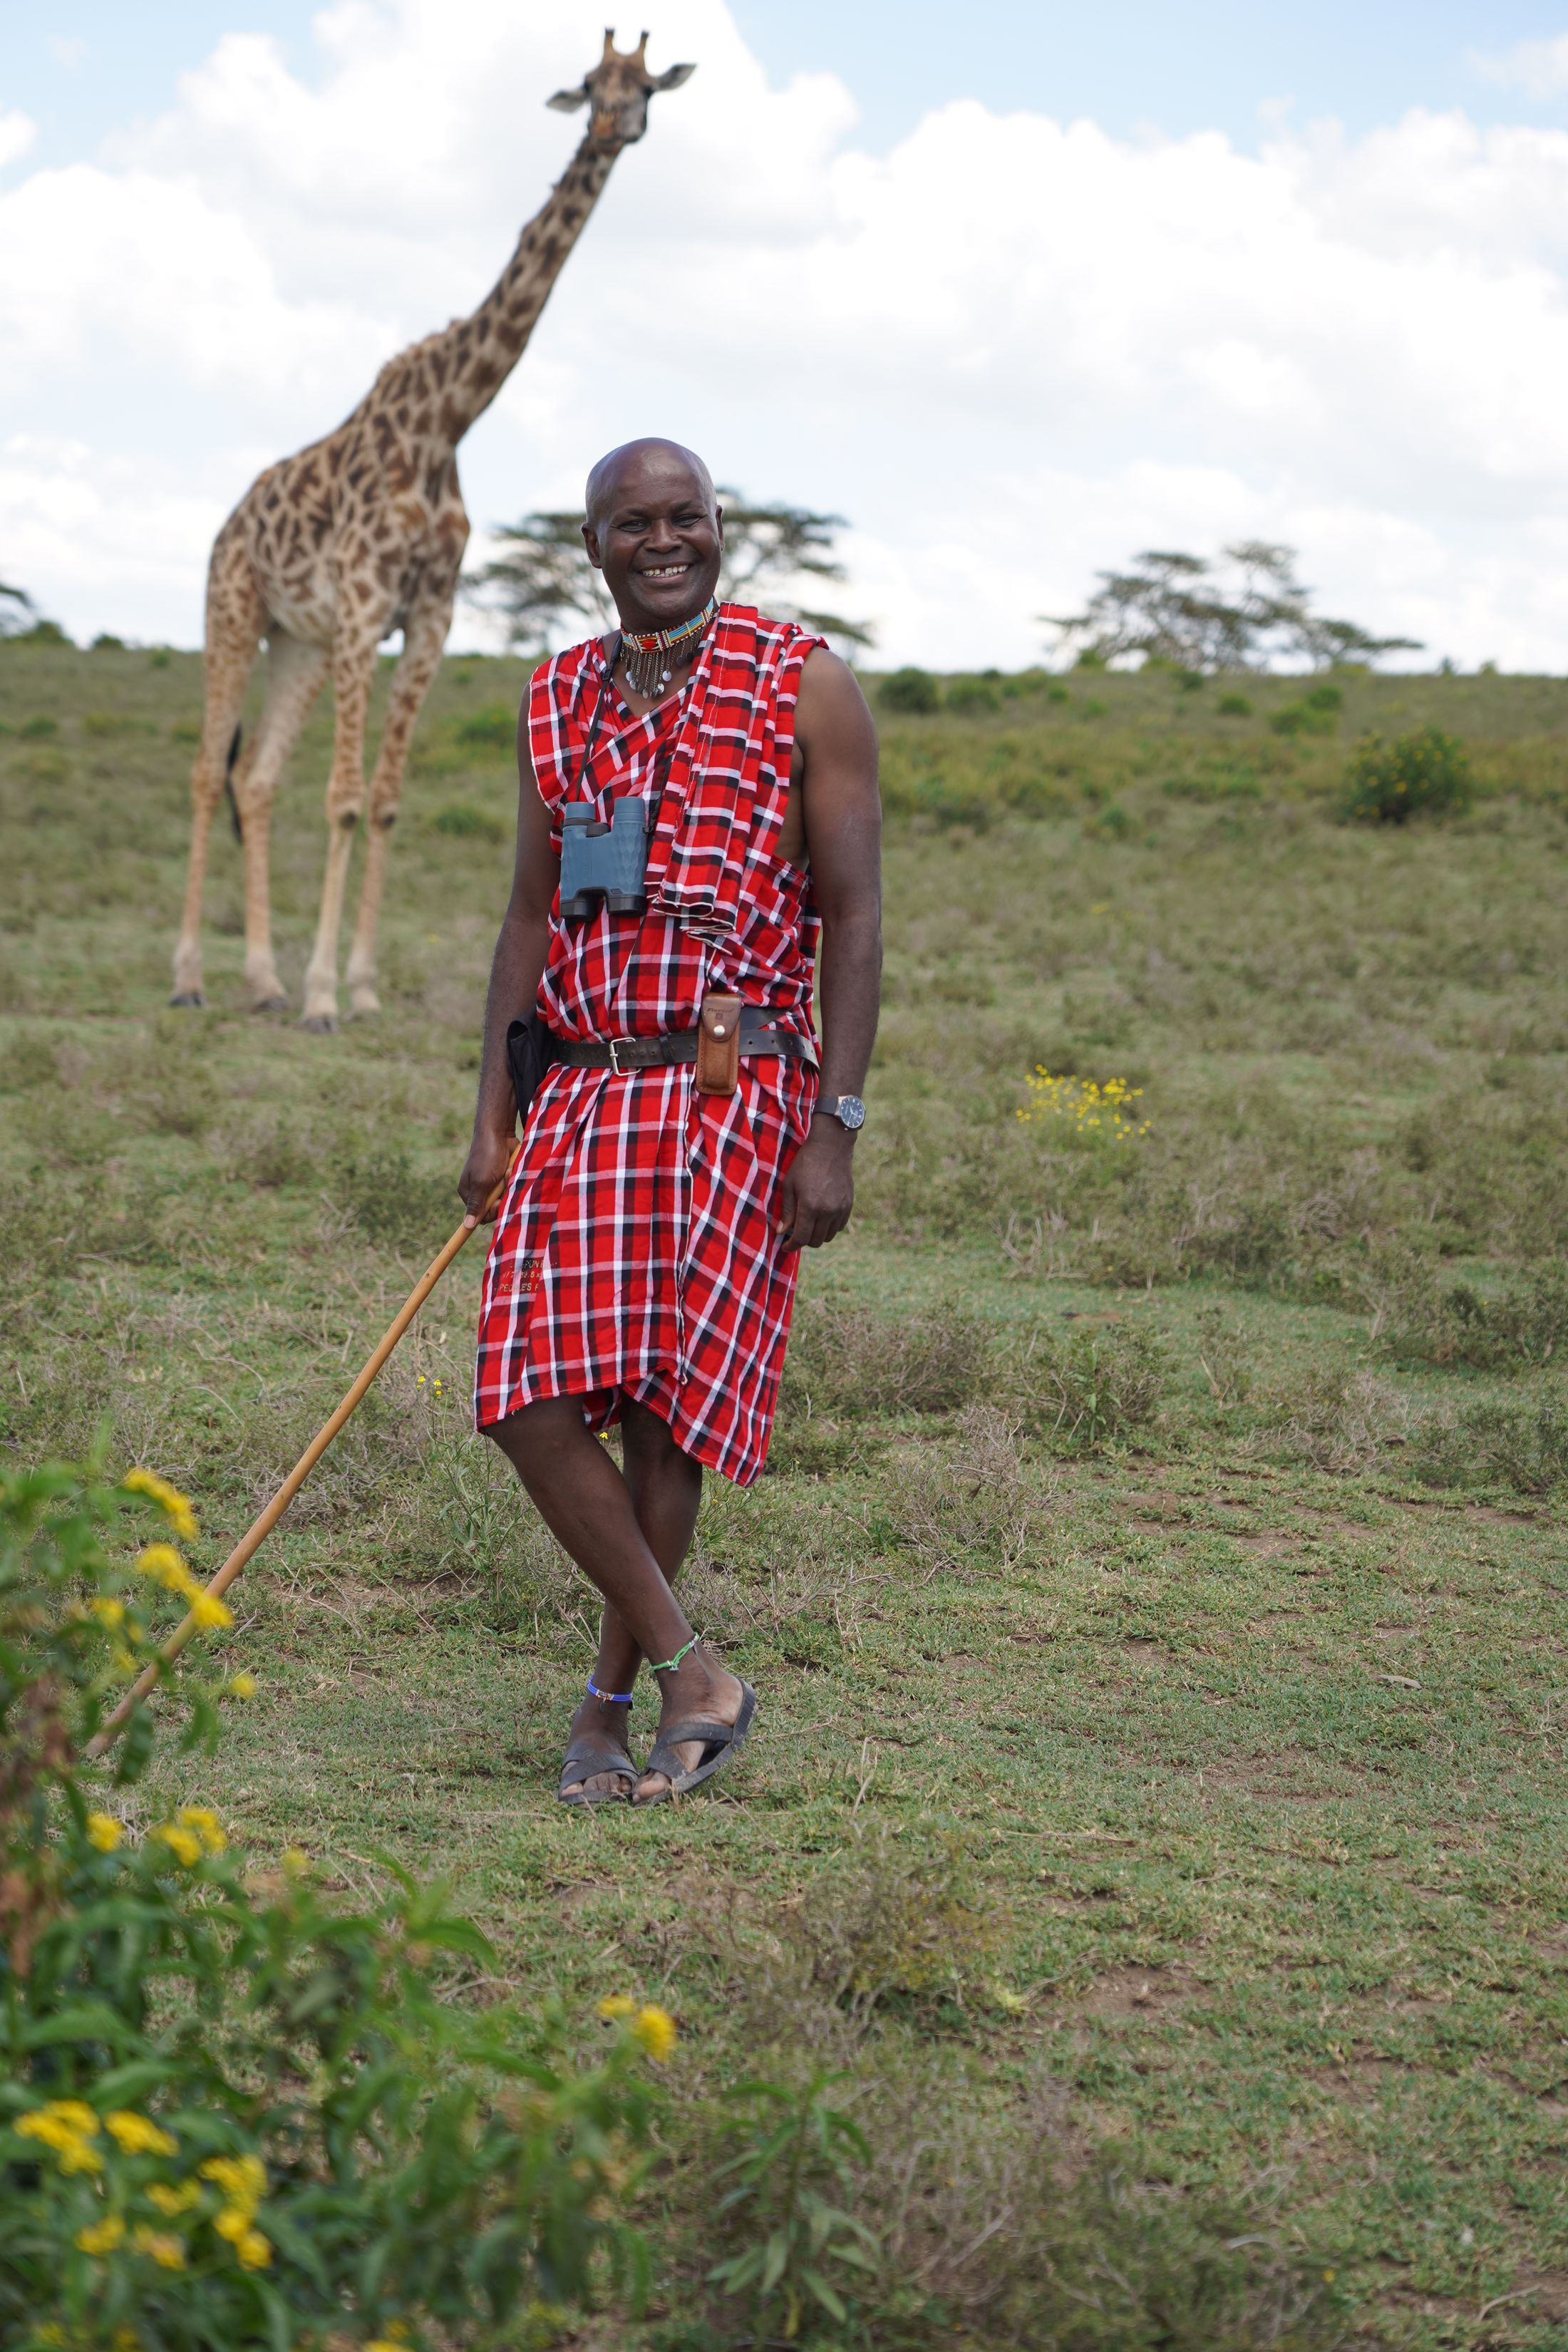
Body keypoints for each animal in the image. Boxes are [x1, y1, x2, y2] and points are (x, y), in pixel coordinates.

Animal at [171, 30, 694, 1030]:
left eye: (647, 85)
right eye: (590, 85)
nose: (618, 124)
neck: (449, 419)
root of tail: (228, 525)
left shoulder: (429, 617)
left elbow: (382, 801)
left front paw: (362, 984)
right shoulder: (364, 608)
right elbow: (341, 801)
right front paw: (323, 995)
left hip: (296, 641)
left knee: (256, 780)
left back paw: (258, 978)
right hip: (234, 612)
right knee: (210, 775)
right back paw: (189, 977)